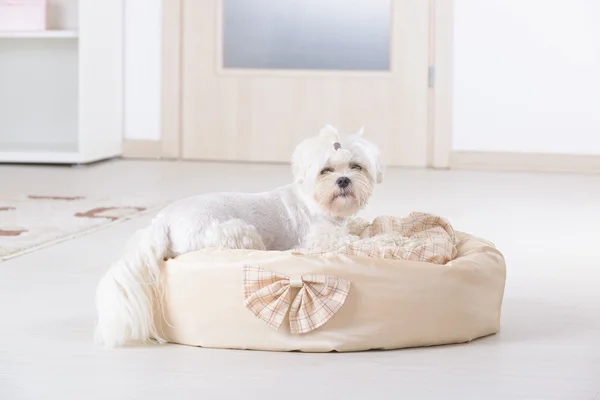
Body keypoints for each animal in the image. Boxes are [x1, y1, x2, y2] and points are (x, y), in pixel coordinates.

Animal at [95, 125, 382, 346]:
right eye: (326, 171)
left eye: (356, 167)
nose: (343, 180)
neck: (316, 202)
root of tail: (162, 222)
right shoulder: (318, 237)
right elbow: (346, 241)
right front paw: (370, 241)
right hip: (237, 232)